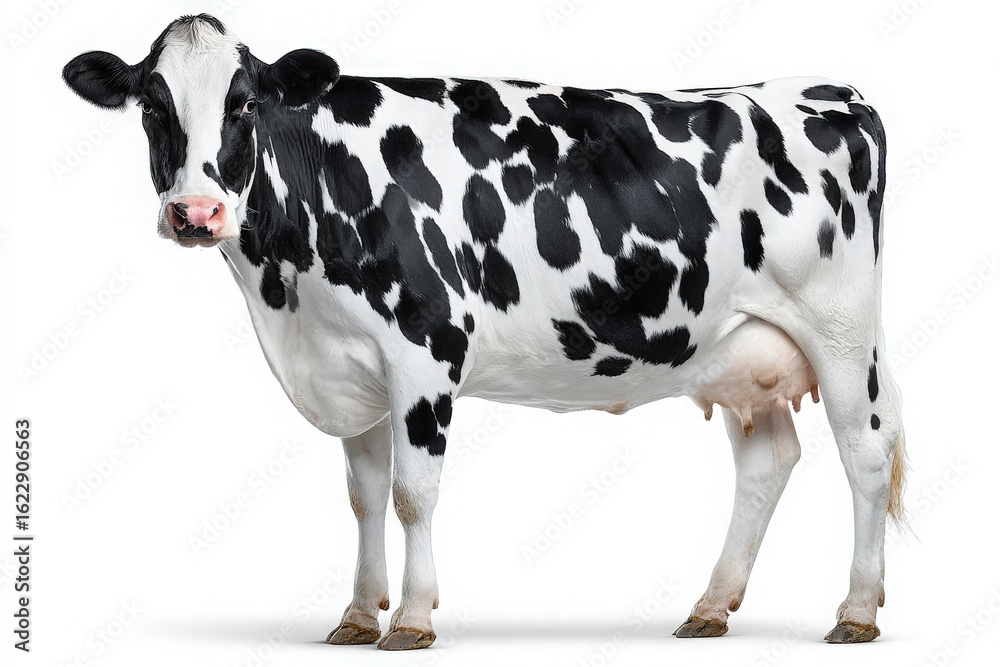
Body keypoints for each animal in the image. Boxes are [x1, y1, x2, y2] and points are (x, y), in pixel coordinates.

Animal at [63, 14, 906, 650]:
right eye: (152, 106)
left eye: (243, 105)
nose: (196, 213)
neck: (289, 296)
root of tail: (832, 90)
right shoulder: (349, 365)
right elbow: (364, 495)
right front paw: (356, 613)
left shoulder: (425, 350)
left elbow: (412, 492)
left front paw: (410, 618)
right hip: (742, 350)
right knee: (768, 462)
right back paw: (709, 605)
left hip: (840, 330)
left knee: (865, 451)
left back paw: (857, 610)